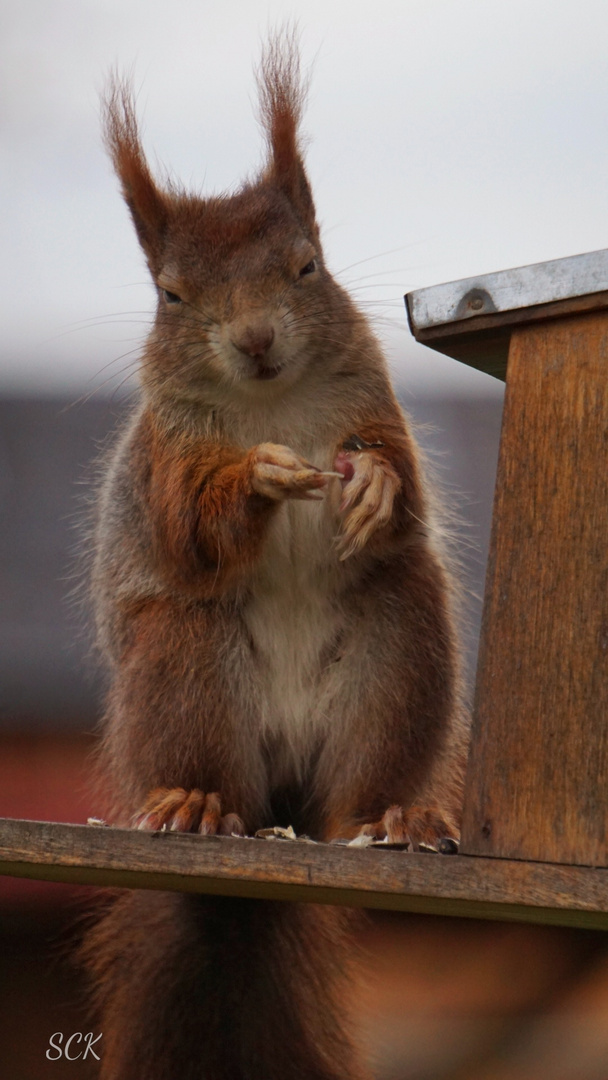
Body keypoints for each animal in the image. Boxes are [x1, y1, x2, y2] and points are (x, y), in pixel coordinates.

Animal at [83, 29, 468, 1080]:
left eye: (308, 267)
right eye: (170, 294)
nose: (254, 341)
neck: (272, 401)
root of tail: (281, 810)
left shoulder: (371, 404)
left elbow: (403, 486)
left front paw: (373, 489)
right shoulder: (166, 456)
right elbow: (188, 525)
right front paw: (256, 478)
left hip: (396, 656)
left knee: (362, 789)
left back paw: (392, 820)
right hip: (185, 666)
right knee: (209, 762)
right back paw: (194, 805)